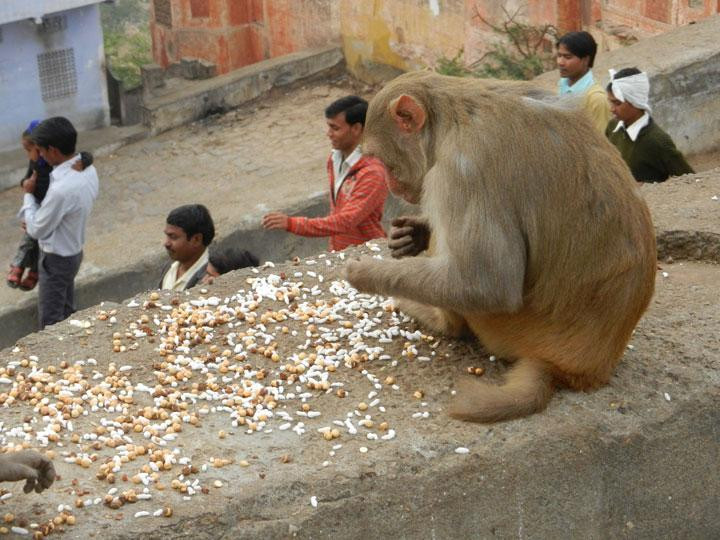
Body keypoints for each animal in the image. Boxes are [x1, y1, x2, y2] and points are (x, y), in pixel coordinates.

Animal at [345, 71, 656, 423]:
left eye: (381, 160)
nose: (389, 185)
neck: (451, 119)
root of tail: (580, 371)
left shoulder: (461, 170)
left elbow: (486, 285)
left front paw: (366, 273)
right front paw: (413, 234)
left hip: (508, 330)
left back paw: (437, 319)